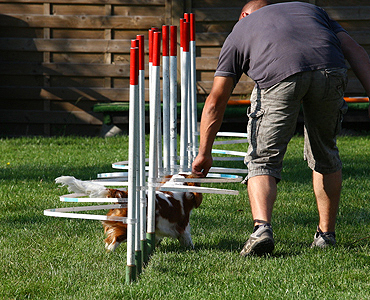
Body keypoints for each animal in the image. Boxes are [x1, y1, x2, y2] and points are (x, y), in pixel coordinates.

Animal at [55, 173, 202, 251]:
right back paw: (111, 251)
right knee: (114, 239)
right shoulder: (183, 225)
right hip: (126, 226)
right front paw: (192, 248)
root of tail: (122, 194)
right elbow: (187, 238)